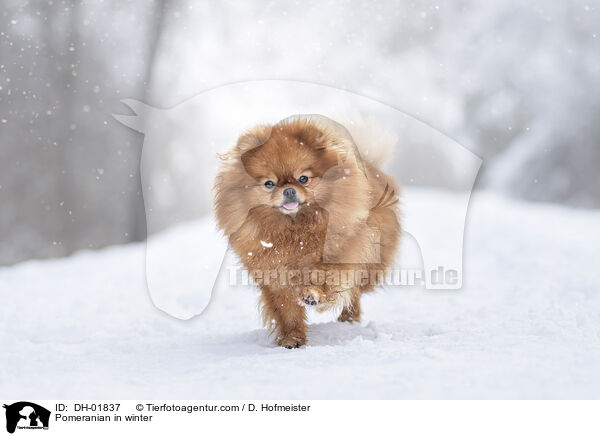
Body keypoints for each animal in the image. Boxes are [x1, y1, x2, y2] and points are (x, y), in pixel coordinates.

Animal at [213, 116, 400, 348]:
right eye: (269, 183)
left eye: (303, 179)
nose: (289, 190)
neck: (295, 230)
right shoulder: (274, 277)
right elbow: (288, 312)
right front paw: (292, 339)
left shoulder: (339, 256)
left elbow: (327, 277)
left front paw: (313, 295)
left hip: (371, 262)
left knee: (355, 291)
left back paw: (348, 319)